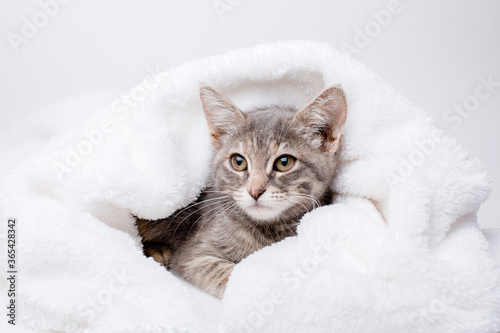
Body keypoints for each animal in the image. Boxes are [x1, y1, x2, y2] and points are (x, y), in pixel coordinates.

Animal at [137, 84, 348, 296]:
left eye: (284, 162)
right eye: (238, 162)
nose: (255, 191)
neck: (266, 231)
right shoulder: (192, 255)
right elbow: (228, 273)